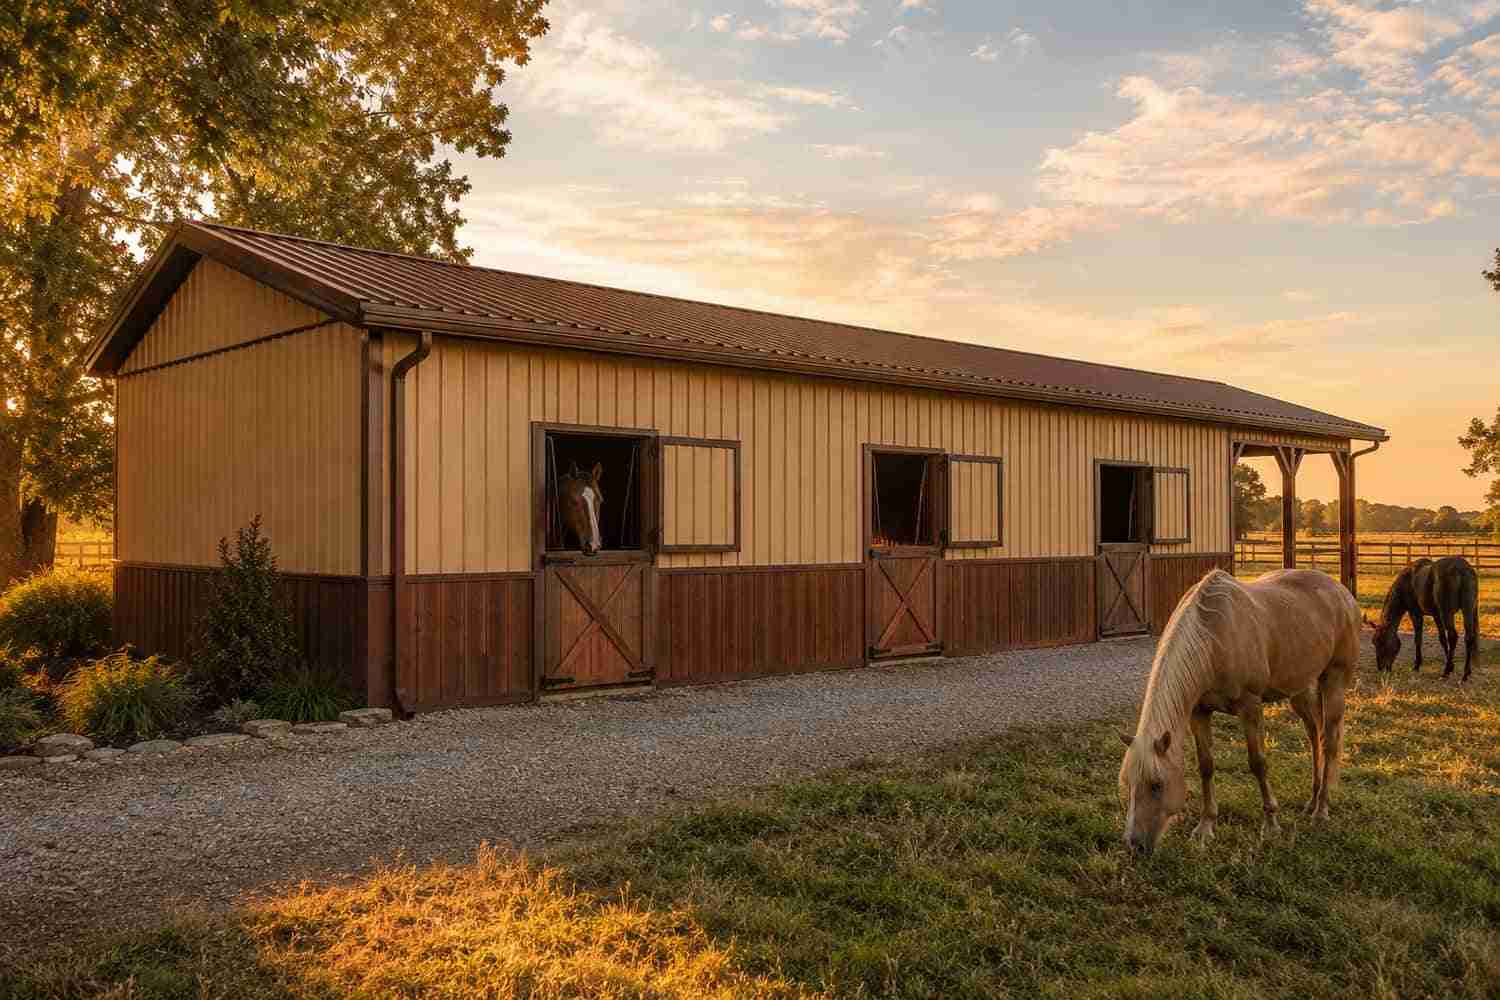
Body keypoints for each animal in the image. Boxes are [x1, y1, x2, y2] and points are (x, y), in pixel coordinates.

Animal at [1118, 568, 1361, 856]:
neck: (1213, 638)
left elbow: (1258, 763)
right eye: (1128, 784)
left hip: (1334, 680)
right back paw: (1311, 801)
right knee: (1315, 736)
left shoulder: (1250, 706)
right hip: (1300, 689)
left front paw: (1271, 824)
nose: (1135, 845)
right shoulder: (1199, 712)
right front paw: (1205, 827)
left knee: (1330, 742)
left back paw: (1321, 811)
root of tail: (1342, 592)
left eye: (1157, 785)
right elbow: (1206, 765)